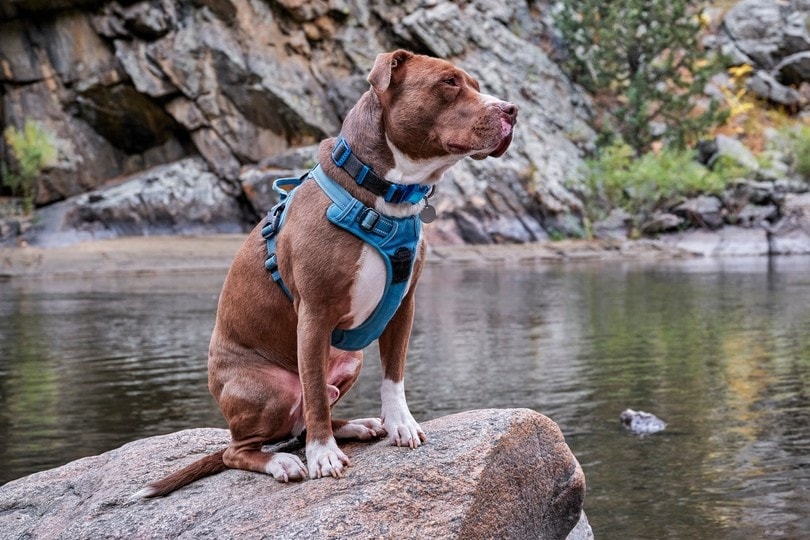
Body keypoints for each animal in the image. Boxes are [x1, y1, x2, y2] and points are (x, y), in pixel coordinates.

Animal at [136, 50, 516, 498]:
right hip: (269, 390)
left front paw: (400, 423)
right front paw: (323, 456)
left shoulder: (403, 306)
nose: (511, 110)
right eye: (449, 83)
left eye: (475, 84)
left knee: (298, 425)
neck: (387, 193)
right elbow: (315, 392)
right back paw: (282, 461)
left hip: (350, 359)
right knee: (241, 448)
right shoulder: (314, 315)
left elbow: (394, 375)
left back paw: (356, 426)